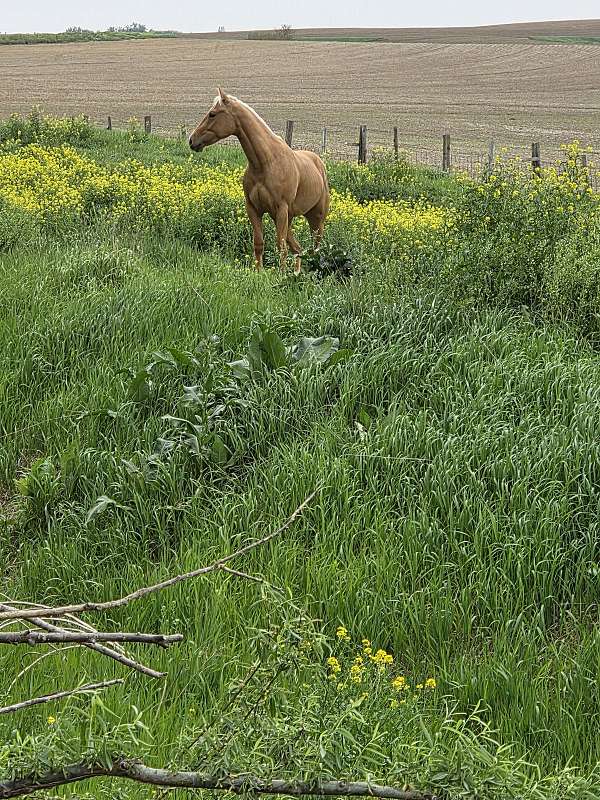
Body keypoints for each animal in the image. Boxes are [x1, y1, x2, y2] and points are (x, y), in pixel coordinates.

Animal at [189, 89, 329, 273]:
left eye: (212, 114)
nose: (192, 140)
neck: (266, 163)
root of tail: (319, 163)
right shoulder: (254, 209)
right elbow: (259, 243)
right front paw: (259, 271)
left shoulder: (281, 210)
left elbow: (280, 247)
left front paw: (281, 274)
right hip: (288, 219)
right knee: (298, 249)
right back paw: (297, 272)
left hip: (316, 219)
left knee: (315, 248)